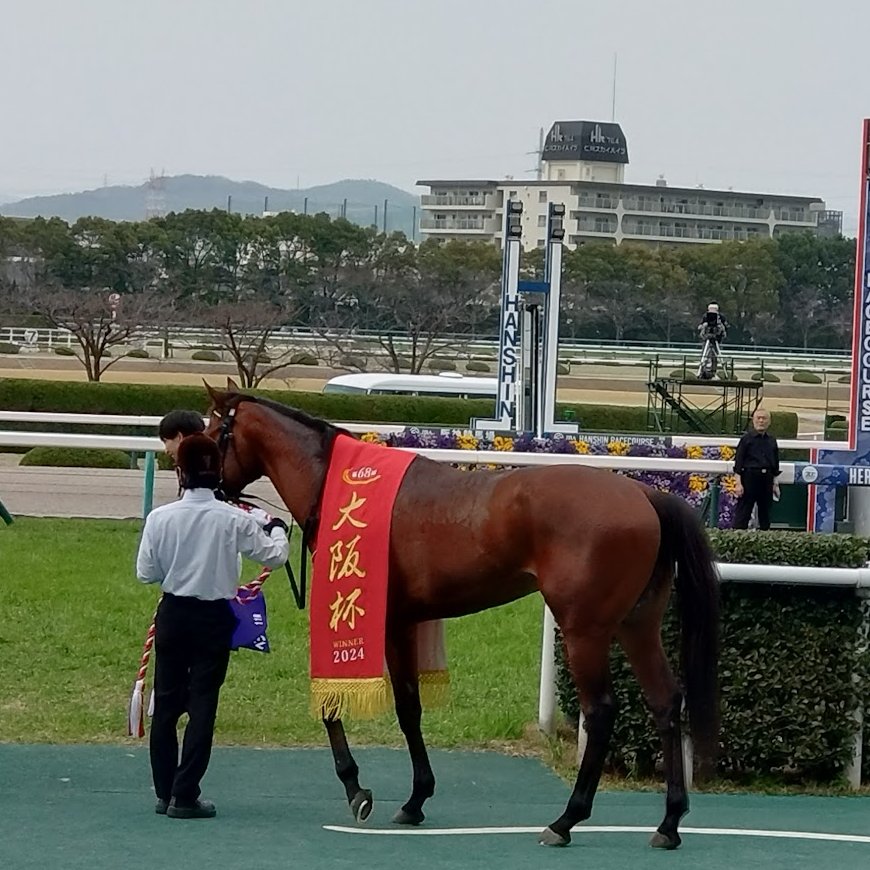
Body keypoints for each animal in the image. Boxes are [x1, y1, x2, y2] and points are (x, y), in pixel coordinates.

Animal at [204, 384, 724, 852]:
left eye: (210, 435)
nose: (204, 483)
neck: (343, 488)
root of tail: (643, 494)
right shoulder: (406, 622)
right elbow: (409, 707)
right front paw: (416, 799)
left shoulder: (375, 620)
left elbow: (340, 705)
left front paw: (358, 790)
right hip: (637, 625)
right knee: (665, 701)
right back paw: (669, 822)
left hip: (585, 630)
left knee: (600, 712)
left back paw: (566, 820)